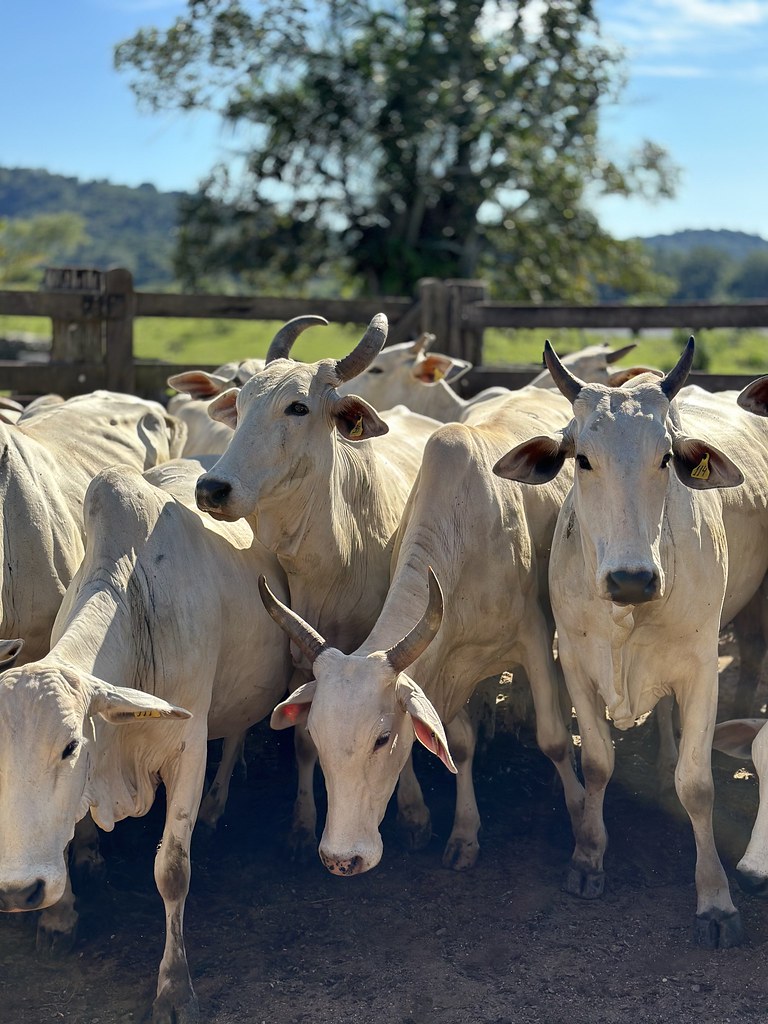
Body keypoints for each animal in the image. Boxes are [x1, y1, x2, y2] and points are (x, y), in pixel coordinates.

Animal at [0, 457, 291, 1024]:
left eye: (70, 747)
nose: (21, 891)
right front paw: (59, 918)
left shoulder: (188, 746)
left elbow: (172, 871)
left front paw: (175, 989)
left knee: (237, 734)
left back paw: (217, 806)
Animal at [194, 313, 443, 855]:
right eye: (240, 406)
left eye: (298, 407)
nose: (211, 489)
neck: (332, 556)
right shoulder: (304, 657)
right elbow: (307, 738)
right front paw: (303, 822)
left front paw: (415, 811)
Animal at [264, 384, 584, 875]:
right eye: (315, 734)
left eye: (381, 739)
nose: (341, 859)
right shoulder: (443, 664)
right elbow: (460, 744)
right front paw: (462, 833)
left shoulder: (531, 635)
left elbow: (552, 739)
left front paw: (584, 825)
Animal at [492, 339, 768, 948]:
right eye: (582, 459)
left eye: (665, 458)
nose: (631, 579)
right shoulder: (574, 662)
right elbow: (596, 763)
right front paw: (588, 859)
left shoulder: (701, 668)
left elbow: (697, 786)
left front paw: (716, 901)